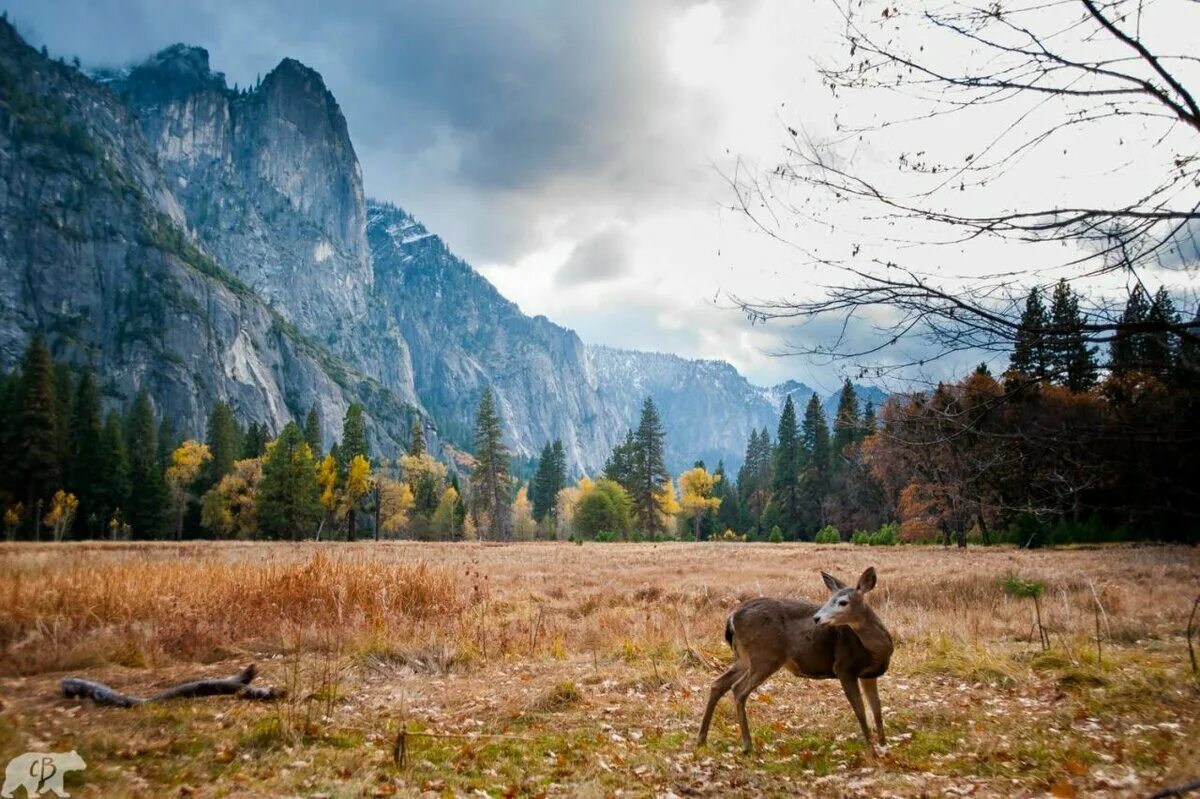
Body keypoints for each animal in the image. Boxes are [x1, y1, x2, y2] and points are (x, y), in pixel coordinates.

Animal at [696, 566, 892, 753]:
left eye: (842, 602)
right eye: (829, 599)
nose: (816, 618)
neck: (877, 650)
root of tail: (732, 617)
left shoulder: (869, 674)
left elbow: (877, 710)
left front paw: (884, 745)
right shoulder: (844, 668)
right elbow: (860, 710)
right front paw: (871, 749)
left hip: (744, 658)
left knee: (718, 684)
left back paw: (701, 739)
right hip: (765, 656)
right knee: (738, 689)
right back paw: (746, 745)